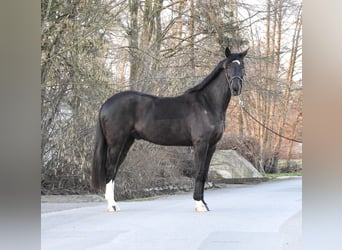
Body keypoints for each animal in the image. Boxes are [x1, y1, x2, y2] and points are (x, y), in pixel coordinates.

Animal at [91, 47, 247, 211]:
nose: (236, 88)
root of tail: (106, 103)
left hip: (126, 142)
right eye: (228, 67)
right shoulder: (200, 144)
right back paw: (112, 206)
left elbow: (204, 174)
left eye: (242, 67)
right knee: (110, 169)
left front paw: (204, 204)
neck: (207, 104)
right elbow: (198, 173)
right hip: (116, 144)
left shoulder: (212, 146)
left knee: (114, 170)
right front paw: (199, 204)